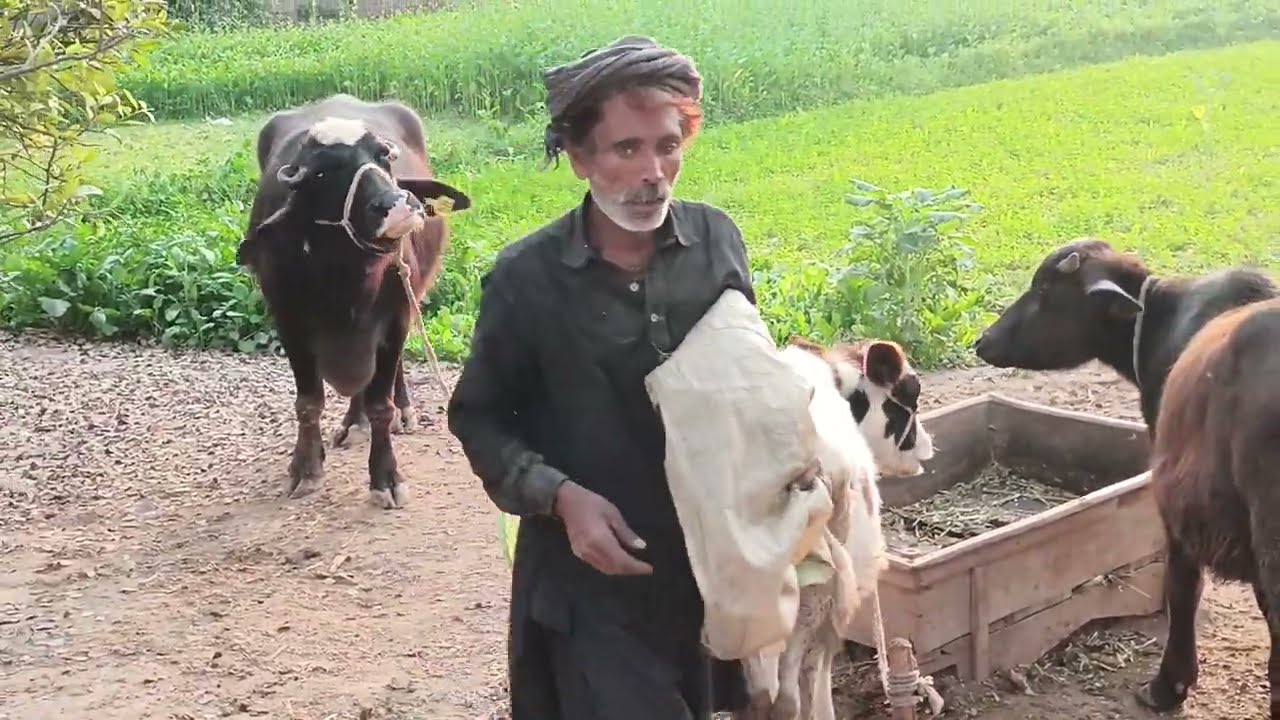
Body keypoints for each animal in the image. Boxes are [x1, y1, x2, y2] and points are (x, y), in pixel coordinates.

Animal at [235, 93, 472, 510]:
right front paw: (306, 468)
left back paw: (401, 411)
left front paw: (386, 477)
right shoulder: (288, 320)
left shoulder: (396, 317)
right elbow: (308, 402)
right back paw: (352, 422)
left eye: (384, 157)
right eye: (323, 173)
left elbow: (381, 403)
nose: (398, 204)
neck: (344, 283)